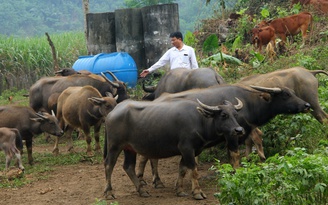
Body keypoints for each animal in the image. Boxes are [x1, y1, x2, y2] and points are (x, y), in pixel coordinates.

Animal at [104, 98, 245, 199]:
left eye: (235, 114)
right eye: (223, 115)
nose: (238, 130)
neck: (200, 121)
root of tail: (112, 113)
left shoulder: (190, 151)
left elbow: (182, 170)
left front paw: (180, 190)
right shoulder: (187, 148)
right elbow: (193, 170)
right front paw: (197, 192)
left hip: (129, 148)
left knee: (128, 166)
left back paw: (142, 191)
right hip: (114, 146)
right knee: (109, 165)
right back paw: (109, 193)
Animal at [137, 83, 312, 187]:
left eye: (293, 92)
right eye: (285, 95)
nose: (307, 105)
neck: (248, 103)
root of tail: (154, 101)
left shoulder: (241, 132)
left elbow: (233, 155)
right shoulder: (232, 135)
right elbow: (235, 155)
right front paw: (237, 174)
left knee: (149, 156)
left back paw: (151, 180)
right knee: (148, 157)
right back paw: (150, 180)